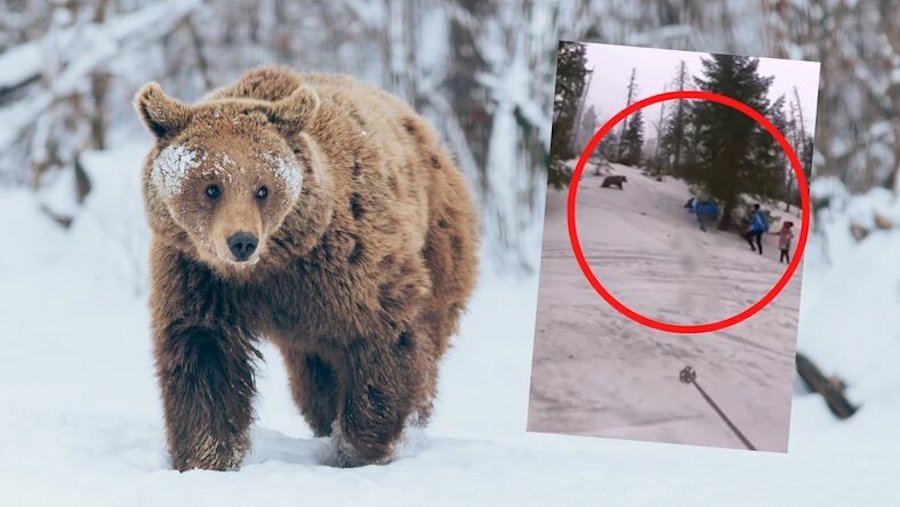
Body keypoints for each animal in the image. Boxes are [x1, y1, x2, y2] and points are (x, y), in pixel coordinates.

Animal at [133, 66, 478, 472]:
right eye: (211, 187)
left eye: (263, 188)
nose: (242, 241)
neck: (271, 266)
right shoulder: (199, 276)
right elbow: (203, 354)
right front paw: (207, 457)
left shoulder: (347, 264)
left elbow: (385, 336)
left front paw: (359, 447)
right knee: (315, 383)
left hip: (438, 241)